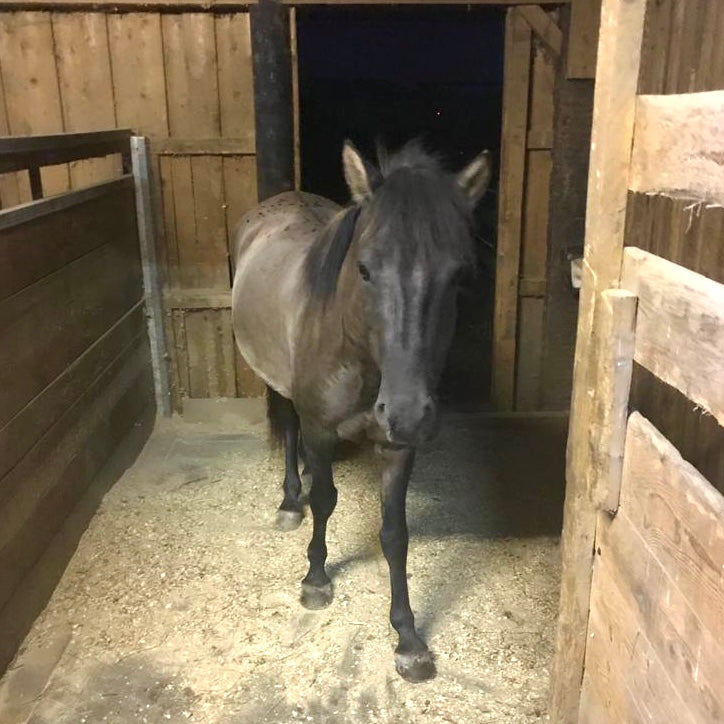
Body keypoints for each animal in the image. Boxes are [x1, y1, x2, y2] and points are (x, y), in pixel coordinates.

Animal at [231, 140, 490, 682]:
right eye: (365, 269)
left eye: (457, 275)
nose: (409, 412)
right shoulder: (321, 428)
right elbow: (326, 500)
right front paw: (315, 578)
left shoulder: (396, 447)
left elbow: (395, 533)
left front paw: (408, 638)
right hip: (281, 387)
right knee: (290, 430)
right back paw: (290, 500)